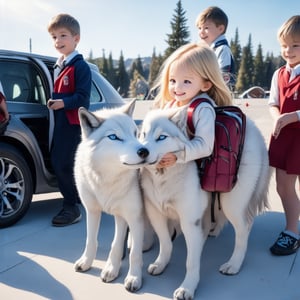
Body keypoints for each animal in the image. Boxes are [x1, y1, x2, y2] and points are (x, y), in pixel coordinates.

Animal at [74, 99, 149, 292]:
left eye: (135, 134)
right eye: (114, 137)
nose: (144, 151)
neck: (106, 181)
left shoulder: (131, 216)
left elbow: (131, 252)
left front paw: (133, 277)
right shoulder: (93, 211)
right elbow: (91, 240)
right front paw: (87, 263)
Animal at [139, 108, 270, 300]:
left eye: (161, 137)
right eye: (142, 134)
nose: (142, 151)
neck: (163, 177)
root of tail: (256, 132)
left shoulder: (189, 221)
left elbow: (191, 262)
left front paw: (187, 288)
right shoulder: (156, 214)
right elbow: (165, 243)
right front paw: (161, 263)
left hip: (232, 205)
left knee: (244, 229)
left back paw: (234, 264)